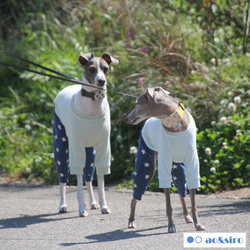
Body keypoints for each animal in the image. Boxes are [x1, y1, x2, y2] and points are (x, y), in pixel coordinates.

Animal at [52, 52, 118, 217]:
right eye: (91, 69)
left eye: (106, 68)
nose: (101, 81)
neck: (93, 104)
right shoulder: (76, 148)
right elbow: (78, 184)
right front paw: (82, 209)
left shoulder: (102, 148)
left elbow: (100, 184)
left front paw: (104, 206)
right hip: (61, 147)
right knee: (63, 179)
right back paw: (62, 205)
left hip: (90, 152)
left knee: (88, 179)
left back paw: (93, 203)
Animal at [124, 87, 205, 232]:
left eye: (136, 104)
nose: (125, 119)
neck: (176, 124)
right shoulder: (164, 163)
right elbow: (168, 203)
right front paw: (171, 225)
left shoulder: (192, 163)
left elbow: (193, 201)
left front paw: (198, 224)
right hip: (146, 164)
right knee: (135, 194)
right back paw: (131, 220)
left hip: (179, 166)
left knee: (181, 191)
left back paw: (187, 216)